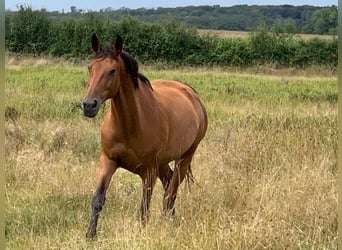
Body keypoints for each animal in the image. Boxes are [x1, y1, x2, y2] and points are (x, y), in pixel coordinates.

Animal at [81, 33, 207, 238]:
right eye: (90, 67)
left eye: (112, 70)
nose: (89, 105)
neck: (129, 126)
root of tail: (190, 93)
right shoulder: (108, 161)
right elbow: (98, 199)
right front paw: (90, 235)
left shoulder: (148, 172)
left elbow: (144, 209)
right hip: (162, 163)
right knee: (168, 185)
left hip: (184, 158)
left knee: (171, 192)